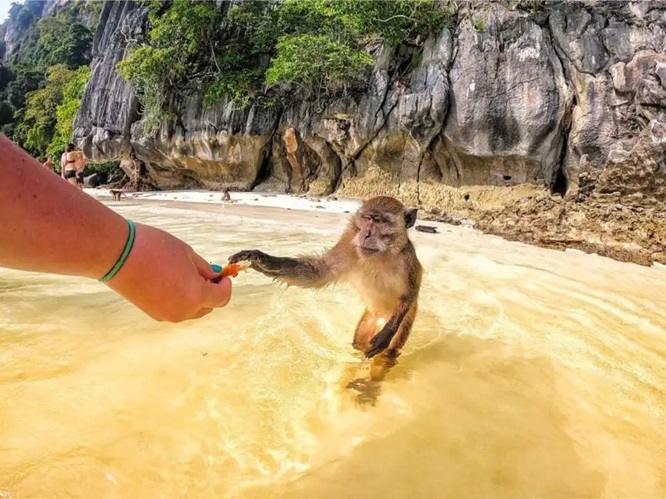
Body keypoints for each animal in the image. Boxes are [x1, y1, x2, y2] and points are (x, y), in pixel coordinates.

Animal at [227, 195, 420, 402]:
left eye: (380, 221)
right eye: (368, 218)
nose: (366, 234)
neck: (380, 254)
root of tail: (380, 317)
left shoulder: (407, 261)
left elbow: (410, 293)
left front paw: (388, 332)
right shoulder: (350, 243)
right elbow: (321, 271)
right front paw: (260, 259)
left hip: (405, 322)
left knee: (388, 354)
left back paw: (370, 384)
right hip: (368, 321)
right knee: (358, 344)